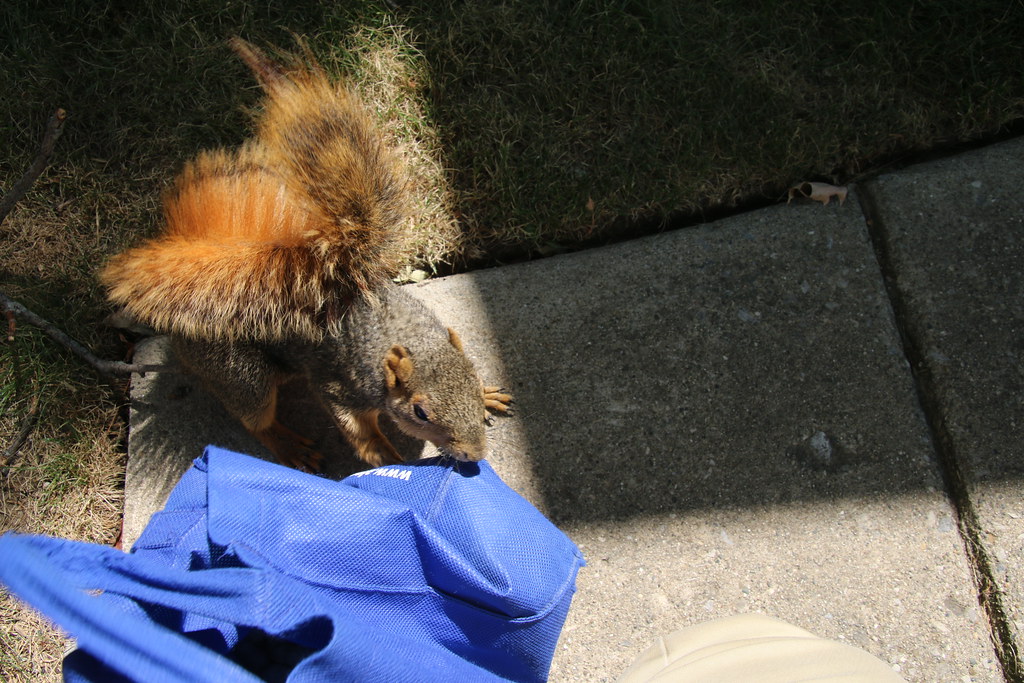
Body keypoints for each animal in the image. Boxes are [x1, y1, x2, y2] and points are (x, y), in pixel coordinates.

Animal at [100, 39, 511, 471]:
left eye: (473, 375)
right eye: (420, 412)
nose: (474, 455)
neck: (397, 335)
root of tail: (179, 338)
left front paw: (488, 395)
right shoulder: (339, 386)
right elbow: (354, 425)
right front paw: (382, 453)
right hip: (241, 372)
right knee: (254, 419)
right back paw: (290, 447)